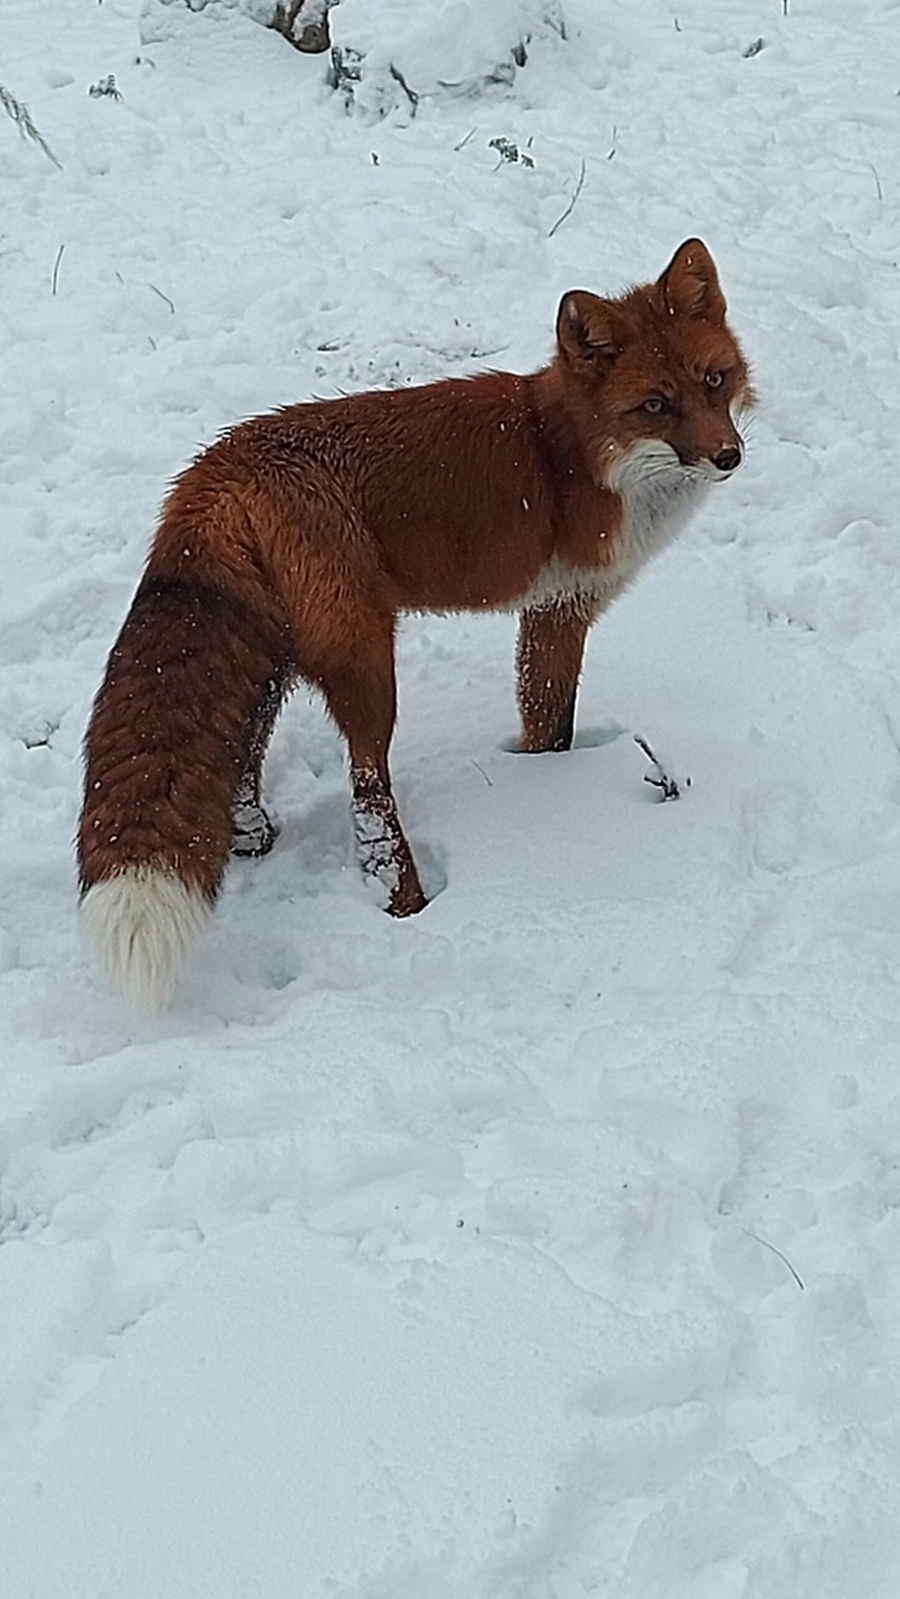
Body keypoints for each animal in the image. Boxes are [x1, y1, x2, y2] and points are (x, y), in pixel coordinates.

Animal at [77, 238, 754, 1004]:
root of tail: (210, 469)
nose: (729, 456)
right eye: (655, 406)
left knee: (243, 755)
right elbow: (552, 728)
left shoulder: (546, 611)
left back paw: (251, 839)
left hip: (275, 656)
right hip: (367, 662)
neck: (574, 456)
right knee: (368, 794)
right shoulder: (562, 607)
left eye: (714, 381)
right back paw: (407, 902)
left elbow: (543, 721)